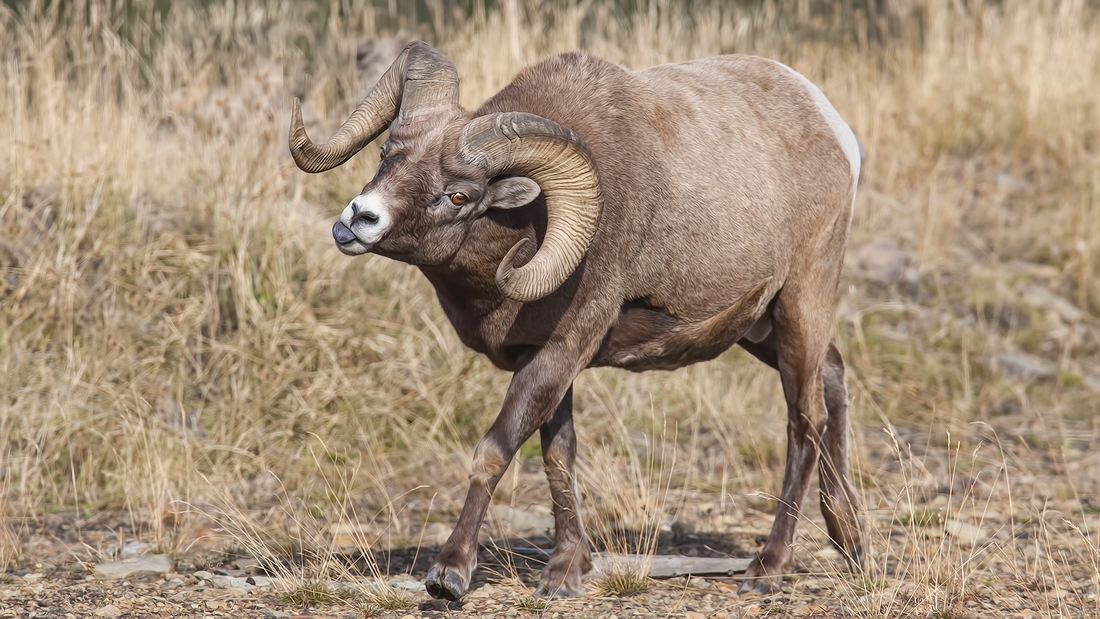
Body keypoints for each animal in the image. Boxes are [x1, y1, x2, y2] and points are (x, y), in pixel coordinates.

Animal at [292, 39, 866, 602]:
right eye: (386, 154)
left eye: (459, 195)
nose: (358, 219)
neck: (532, 225)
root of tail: (834, 128)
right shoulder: (549, 361)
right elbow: (559, 454)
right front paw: (566, 572)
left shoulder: (563, 349)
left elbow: (495, 451)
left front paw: (449, 575)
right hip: (759, 329)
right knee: (834, 375)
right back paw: (851, 540)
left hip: (801, 303)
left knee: (804, 420)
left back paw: (768, 569)